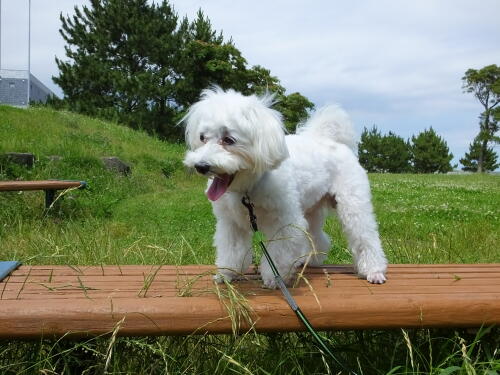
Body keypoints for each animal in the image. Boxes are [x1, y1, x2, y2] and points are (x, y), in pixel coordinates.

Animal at [183, 87, 386, 288]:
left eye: (229, 140)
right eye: (202, 137)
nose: (201, 166)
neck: (249, 187)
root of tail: (334, 141)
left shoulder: (284, 223)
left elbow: (278, 253)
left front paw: (273, 278)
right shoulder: (231, 224)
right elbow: (231, 250)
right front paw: (226, 273)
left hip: (352, 204)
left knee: (365, 236)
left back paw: (373, 270)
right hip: (311, 209)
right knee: (316, 236)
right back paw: (308, 259)